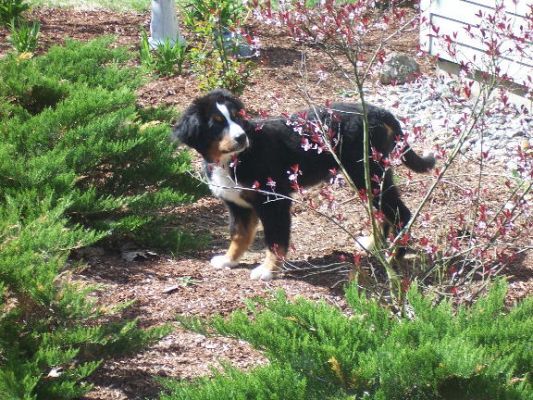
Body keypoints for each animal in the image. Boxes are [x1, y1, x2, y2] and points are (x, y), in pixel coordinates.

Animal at [172, 89, 434, 280]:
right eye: (216, 123)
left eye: (236, 118)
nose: (241, 137)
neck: (236, 158)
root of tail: (376, 111)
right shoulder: (237, 204)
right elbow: (239, 235)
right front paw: (229, 260)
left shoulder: (274, 202)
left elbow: (275, 239)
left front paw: (267, 271)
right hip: (367, 178)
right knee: (381, 213)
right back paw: (372, 243)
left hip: (367, 174)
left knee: (400, 213)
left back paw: (395, 255)